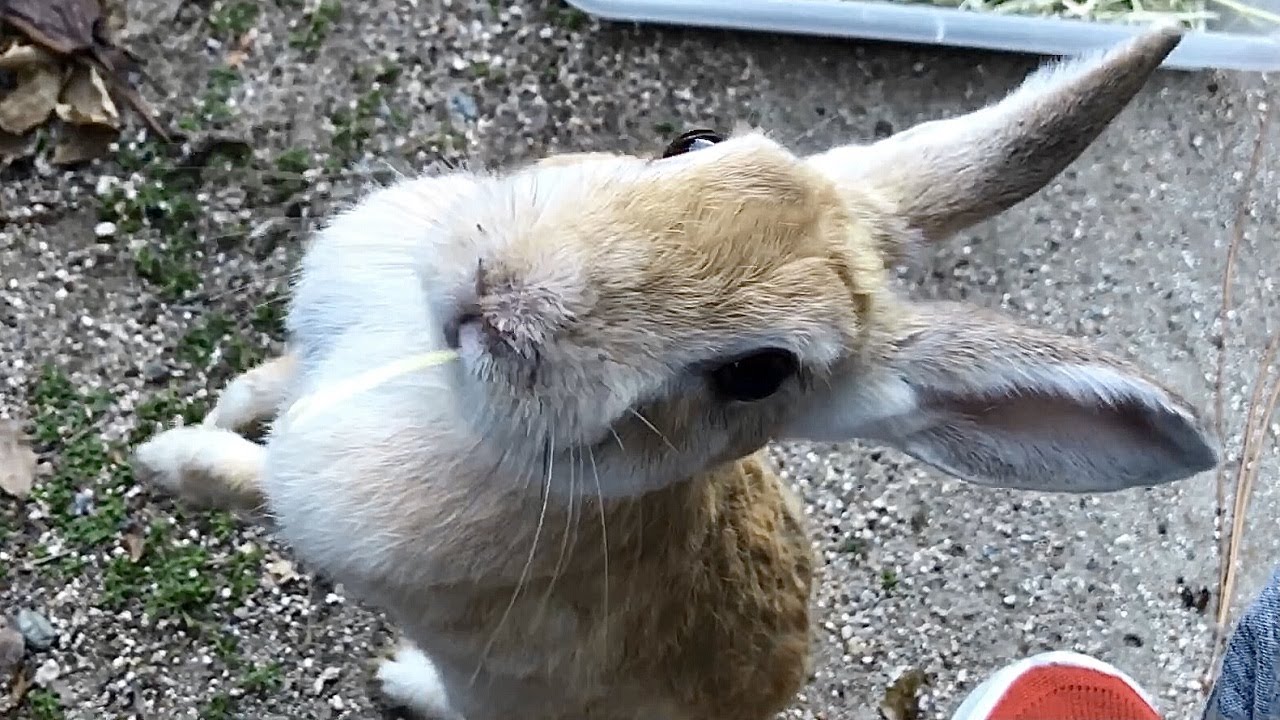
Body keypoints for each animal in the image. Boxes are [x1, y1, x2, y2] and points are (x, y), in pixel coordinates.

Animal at [132, 24, 1218, 720]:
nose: (500, 296)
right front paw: (221, 406)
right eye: (689, 141)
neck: (438, 372)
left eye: (757, 373)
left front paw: (162, 457)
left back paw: (401, 680)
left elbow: (250, 481)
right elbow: (272, 384)